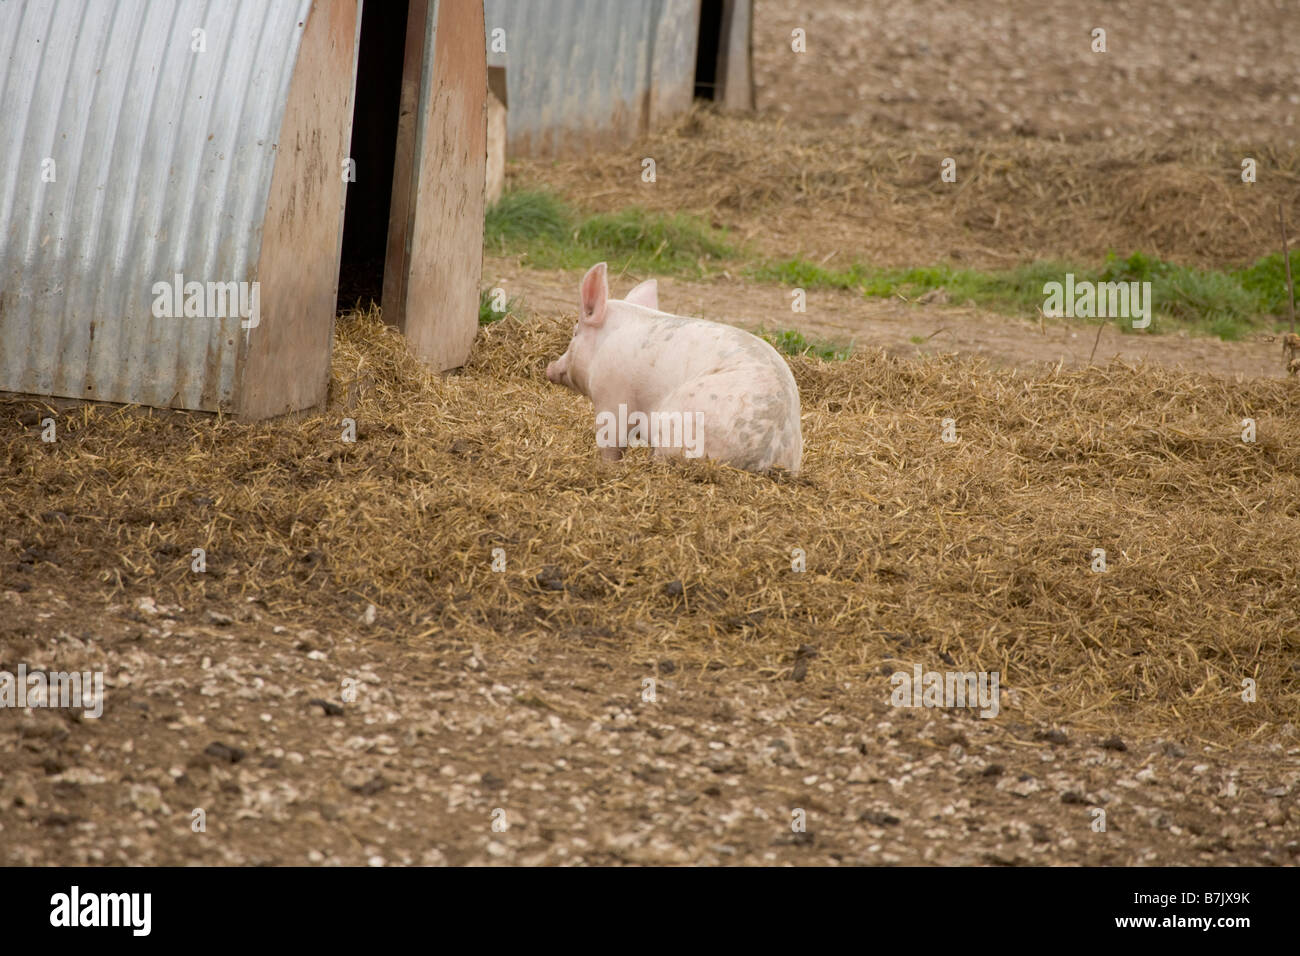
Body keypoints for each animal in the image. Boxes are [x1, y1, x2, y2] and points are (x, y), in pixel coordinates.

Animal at [540, 261, 800, 476]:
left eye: (575, 333)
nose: (549, 368)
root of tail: (766, 455)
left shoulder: (612, 396)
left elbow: (611, 442)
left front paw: (605, 467)